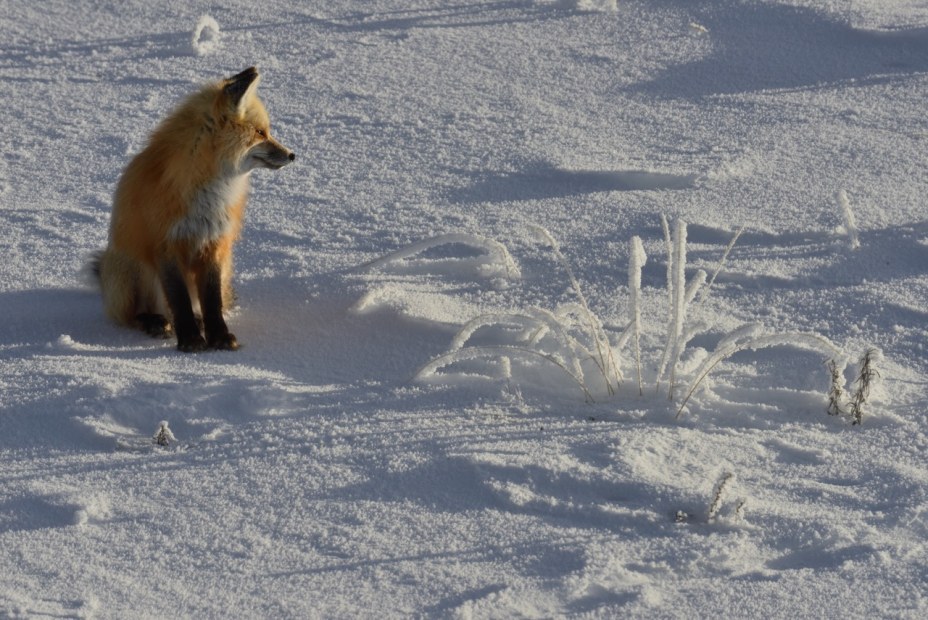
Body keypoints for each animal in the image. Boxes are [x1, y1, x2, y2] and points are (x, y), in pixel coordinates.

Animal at [90, 67, 294, 352]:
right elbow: (179, 300)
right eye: (260, 133)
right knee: (134, 314)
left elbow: (212, 302)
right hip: (135, 270)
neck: (207, 194)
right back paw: (153, 321)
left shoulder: (215, 242)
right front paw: (190, 339)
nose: (292, 155)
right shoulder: (166, 244)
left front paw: (218, 336)